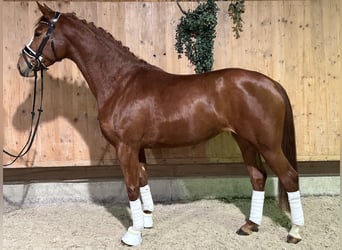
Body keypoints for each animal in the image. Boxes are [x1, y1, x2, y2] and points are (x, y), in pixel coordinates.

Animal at [17, 2, 304, 246]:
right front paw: (145, 221)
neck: (121, 83)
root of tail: (272, 84)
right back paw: (250, 225)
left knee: (289, 177)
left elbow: (132, 186)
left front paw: (132, 234)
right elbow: (143, 180)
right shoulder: (137, 147)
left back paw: (295, 232)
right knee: (258, 176)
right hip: (245, 141)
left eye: (39, 32)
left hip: (268, 145)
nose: (22, 65)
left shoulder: (125, 147)